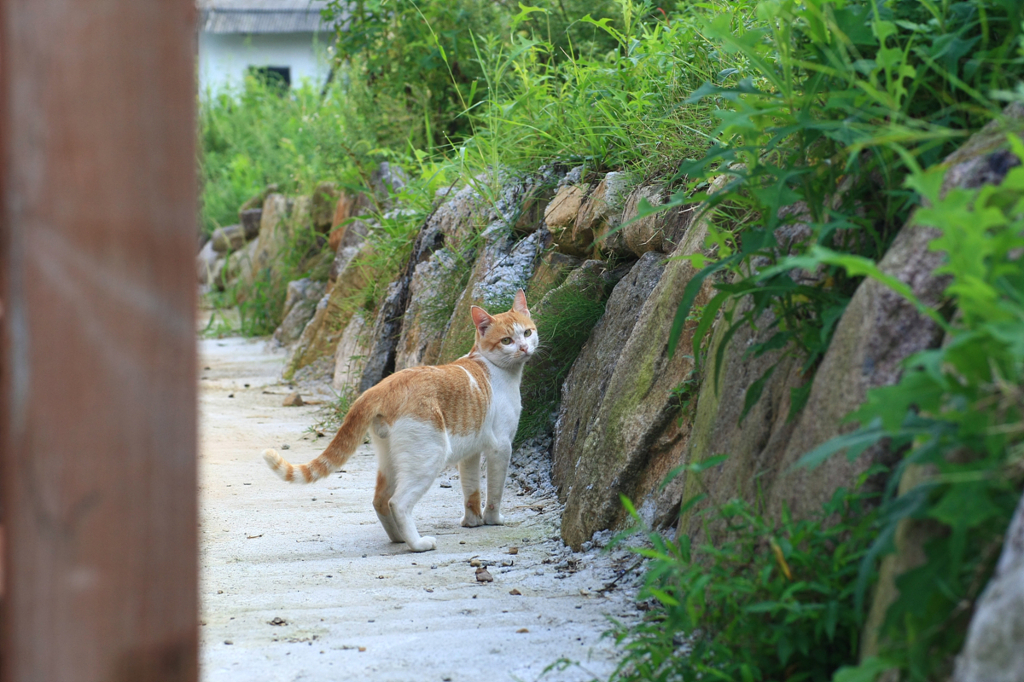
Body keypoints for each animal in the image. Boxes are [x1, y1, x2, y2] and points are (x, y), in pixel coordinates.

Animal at [260, 288, 540, 548]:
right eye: (506, 340)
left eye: (527, 333)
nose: (524, 347)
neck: (493, 366)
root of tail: (381, 387)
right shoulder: (501, 447)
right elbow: (494, 491)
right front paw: (493, 520)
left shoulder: (471, 452)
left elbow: (471, 491)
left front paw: (472, 522)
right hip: (429, 455)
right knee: (399, 502)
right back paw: (417, 544)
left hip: (391, 459)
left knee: (380, 500)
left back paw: (398, 539)